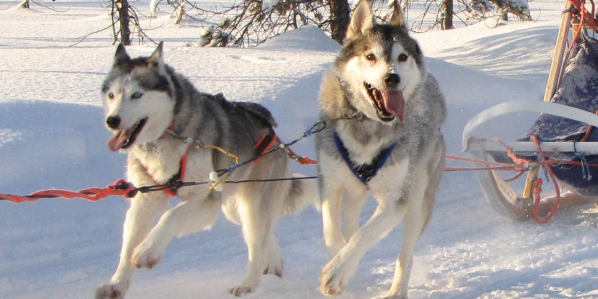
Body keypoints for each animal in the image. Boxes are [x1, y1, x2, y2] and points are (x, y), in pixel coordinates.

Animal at [96, 43, 316, 298]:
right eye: (112, 95)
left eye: (137, 95)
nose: (112, 120)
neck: (167, 135)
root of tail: (275, 136)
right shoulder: (146, 199)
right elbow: (128, 243)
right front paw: (116, 284)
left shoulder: (206, 199)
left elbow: (170, 216)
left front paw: (147, 251)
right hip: (235, 208)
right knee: (265, 235)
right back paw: (274, 263)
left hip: (252, 206)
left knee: (257, 242)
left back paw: (248, 284)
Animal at [316, 1, 448, 298]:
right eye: (370, 56)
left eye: (402, 57)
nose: (392, 78)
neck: (368, 125)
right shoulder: (330, 183)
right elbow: (332, 233)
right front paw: (339, 262)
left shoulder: (395, 200)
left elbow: (363, 235)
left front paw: (339, 269)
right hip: (354, 192)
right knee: (350, 220)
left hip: (417, 201)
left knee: (405, 254)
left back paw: (397, 291)